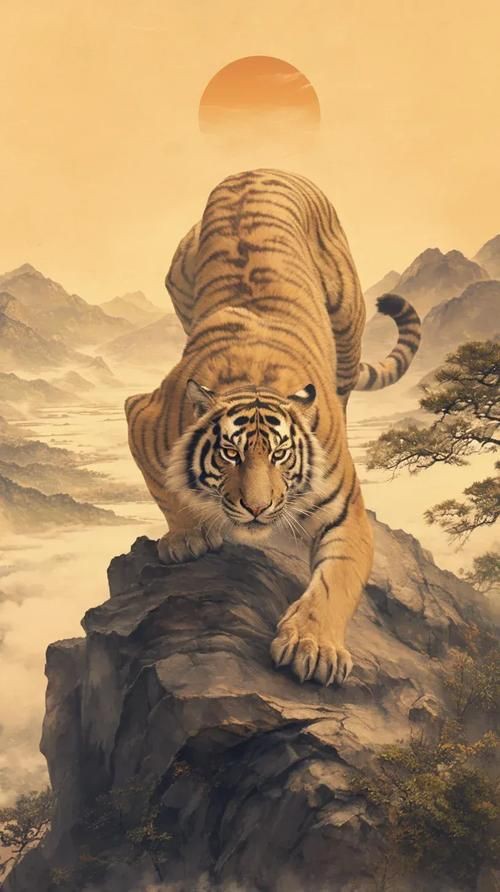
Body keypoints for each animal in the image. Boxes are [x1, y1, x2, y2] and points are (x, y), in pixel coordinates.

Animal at [125, 168, 421, 687]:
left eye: (281, 455)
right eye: (230, 454)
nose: (258, 509)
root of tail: (257, 169)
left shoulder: (344, 513)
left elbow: (337, 579)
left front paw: (313, 646)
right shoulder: (143, 416)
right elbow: (164, 485)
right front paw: (187, 537)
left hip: (346, 322)